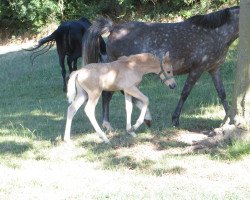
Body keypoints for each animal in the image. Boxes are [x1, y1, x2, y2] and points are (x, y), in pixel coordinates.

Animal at [83, 6, 239, 130]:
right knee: (110, 94)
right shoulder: (197, 70)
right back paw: (109, 124)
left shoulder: (214, 69)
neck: (214, 34)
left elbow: (222, 94)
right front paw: (175, 120)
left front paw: (231, 120)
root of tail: (113, 28)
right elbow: (185, 93)